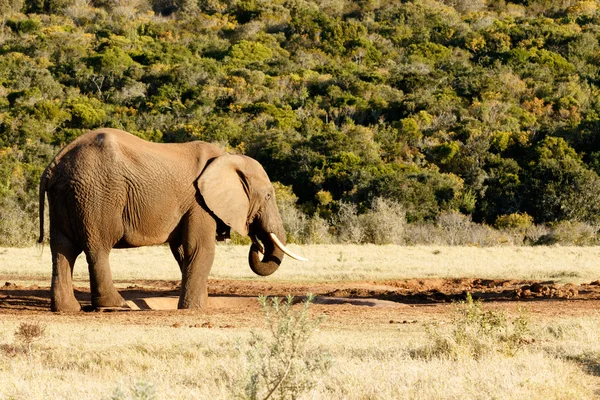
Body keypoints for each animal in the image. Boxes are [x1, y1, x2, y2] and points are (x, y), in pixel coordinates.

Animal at [39, 128, 308, 312]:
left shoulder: (192, 206)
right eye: (268, 195)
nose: (257, 243)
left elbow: (182, 252)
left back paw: (67, 309)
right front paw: (194, 309)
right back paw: (117, 305)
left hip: (68, 195)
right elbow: (200, 249)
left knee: (62, 249)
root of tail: (53, 164)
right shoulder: (199, 203)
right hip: (98, 194)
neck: (226, 158)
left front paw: (200, 304)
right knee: (98, 247)